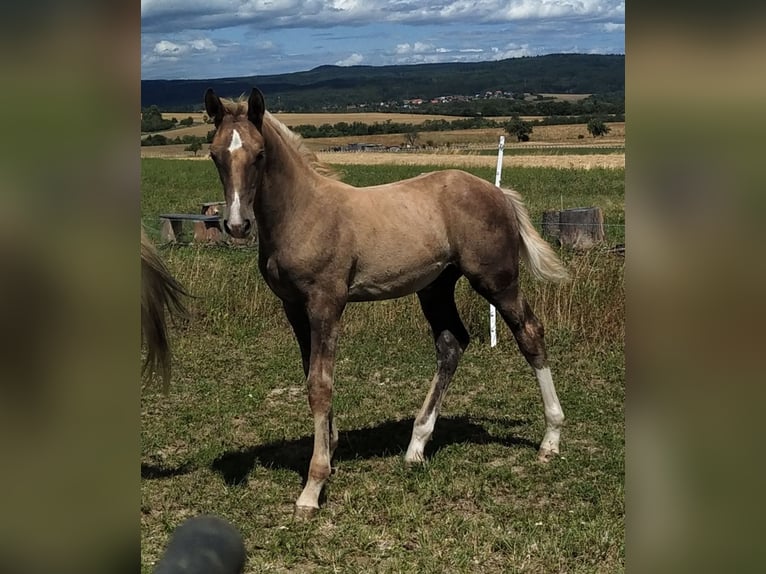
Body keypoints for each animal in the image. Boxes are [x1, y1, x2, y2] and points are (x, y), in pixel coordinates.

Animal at [202, 88, 568, 520]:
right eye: (214, 154)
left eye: (259, 154)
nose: (237, 225)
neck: (304, 212)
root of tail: (498, 193)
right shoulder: (294, 308)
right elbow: (312, 376)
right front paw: (331, 447)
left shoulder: (326, 304)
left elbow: (320, 384)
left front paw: (313, 487)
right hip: (436, 287)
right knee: (451, 344)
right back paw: (416, 447)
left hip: (498, 281)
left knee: (529, 332)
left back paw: (550, 439)